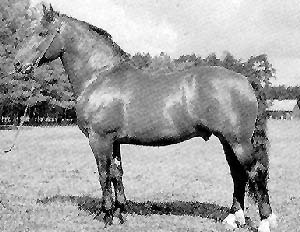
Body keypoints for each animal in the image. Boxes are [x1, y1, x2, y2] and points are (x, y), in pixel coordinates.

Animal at [14, 4, 276, 231]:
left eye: (42, 33)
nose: (18, 65)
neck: (100, 76)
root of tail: (245, 80)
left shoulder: (99, 139)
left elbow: (103, 174)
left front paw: (106, 216)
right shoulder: (114, 141)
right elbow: (117, 174)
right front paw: (120, 213)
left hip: (238, 141)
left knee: (254, 173)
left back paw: (264, 221)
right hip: (227, 141)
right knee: (238, 174)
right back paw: (233, 218)